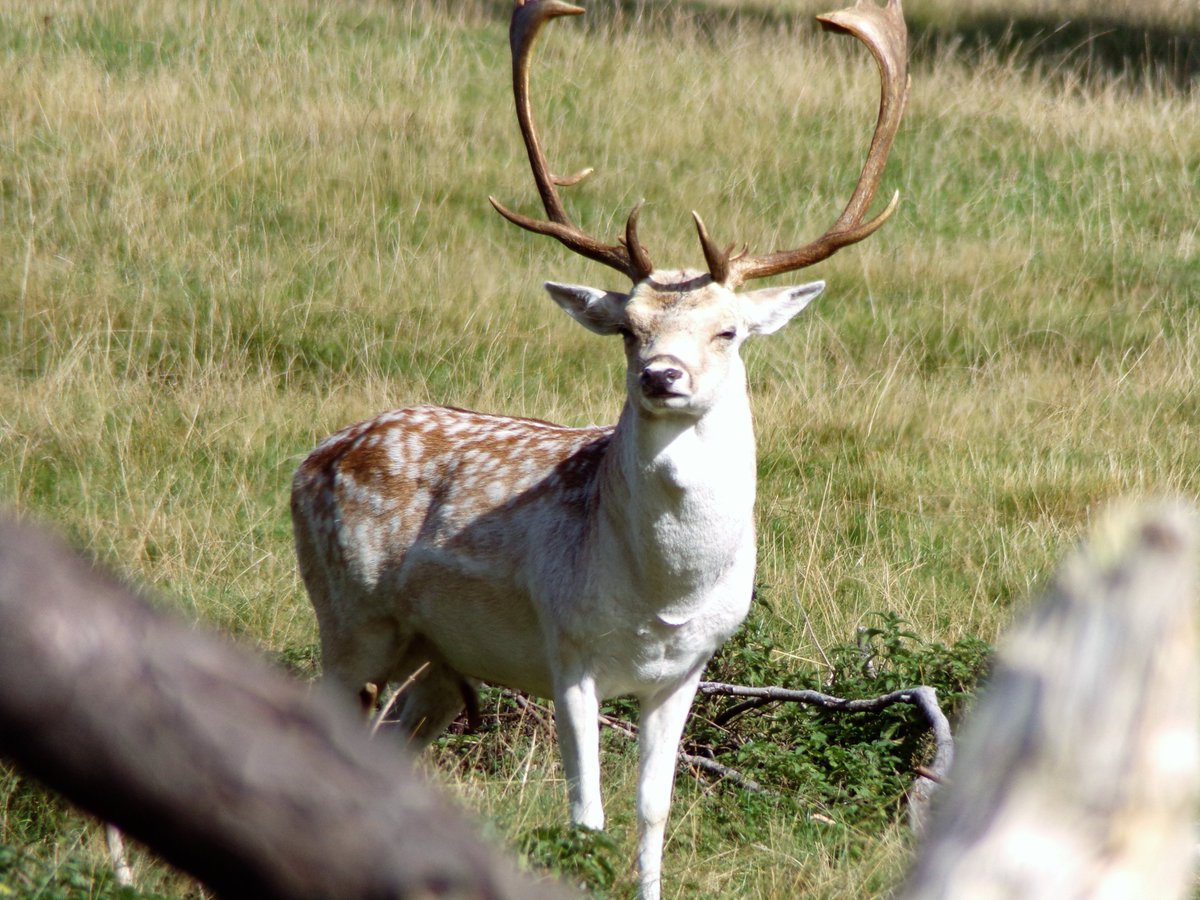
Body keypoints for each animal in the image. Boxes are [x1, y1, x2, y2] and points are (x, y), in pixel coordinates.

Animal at [290, 1, 908, 896]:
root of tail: (309, 460)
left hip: (432, 655)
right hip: (349, 616)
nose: (661, 376)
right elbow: (586, 815)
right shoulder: (568, 648)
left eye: (727, 329)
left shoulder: (688, 667)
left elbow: (654, 811)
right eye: (629, 328)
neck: (663, 597)